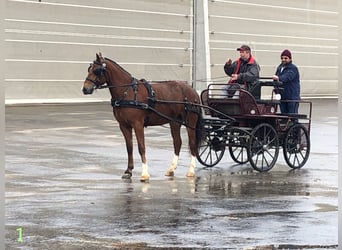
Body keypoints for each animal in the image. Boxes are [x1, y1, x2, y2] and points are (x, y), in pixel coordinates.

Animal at [82, 52, 203, 182]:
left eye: (97, 70)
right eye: (89, 69)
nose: (85, 89)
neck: (127, 91)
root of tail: (192, 90)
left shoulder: (137, 124)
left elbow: (141, 147)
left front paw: (144, 174)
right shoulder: (124, 125)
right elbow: (129, 147)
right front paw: (128, 171)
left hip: (190, 122)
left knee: (192, 144)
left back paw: (191, 171)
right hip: (174, 122)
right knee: (177, 143)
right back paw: (171, 169)